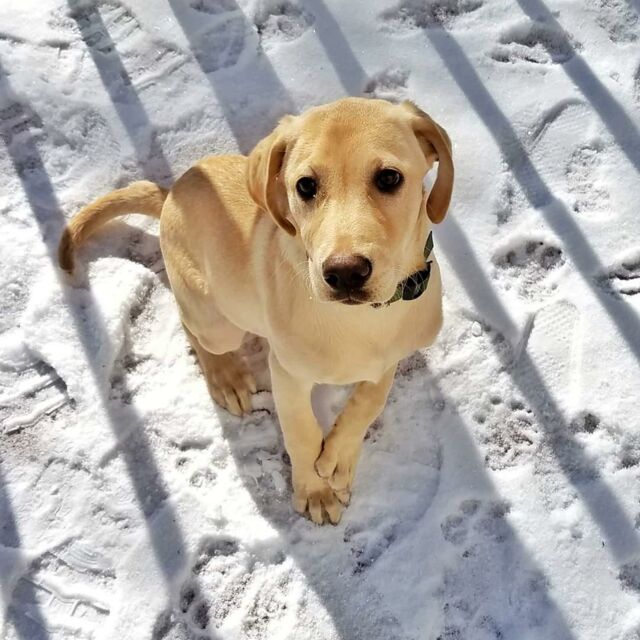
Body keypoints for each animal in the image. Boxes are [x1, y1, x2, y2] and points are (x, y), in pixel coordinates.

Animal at [59, 97, 454, 525]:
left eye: (389, 178)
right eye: (305, 186)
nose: (345, 273)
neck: (367, 319)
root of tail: (170, 195)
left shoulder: (389, 359)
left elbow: (370, 400)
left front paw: (340, 459)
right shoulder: (288, 373)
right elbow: (301, 433)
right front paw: (315, 491)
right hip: (217, 321)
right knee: (193, 327)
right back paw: (226, 377)